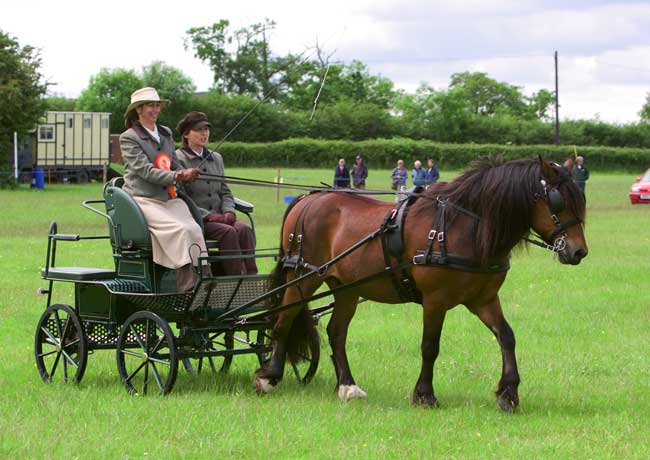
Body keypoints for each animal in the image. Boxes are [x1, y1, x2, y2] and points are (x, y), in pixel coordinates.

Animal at [254, 156, 588, 412]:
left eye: (580, 200)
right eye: (559, 202)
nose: (579, 252)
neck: (462, 226)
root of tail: (308, 198)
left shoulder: (483, 299)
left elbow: (506, 337)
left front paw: (509, 393)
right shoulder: (435, 300)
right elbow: (430, 346)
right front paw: (425, 395)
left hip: (346, 286)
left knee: (336, 332)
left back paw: (347, 386)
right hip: (304, 276)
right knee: (283, 321)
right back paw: (269, 376)